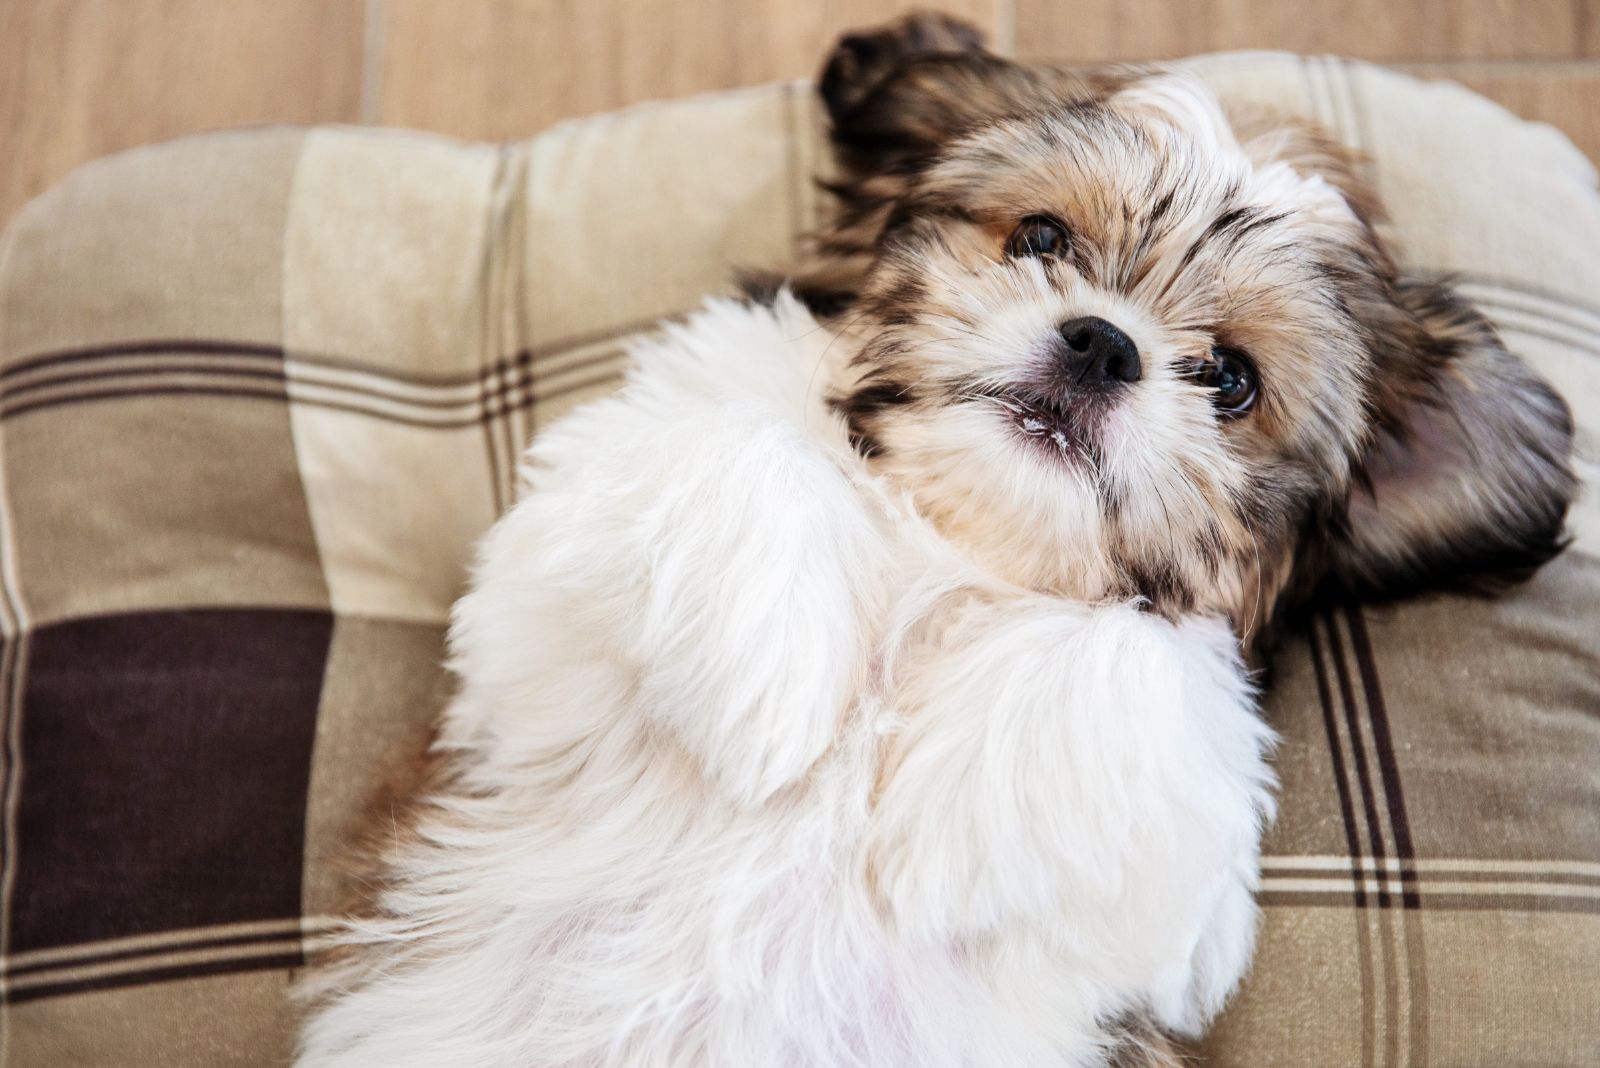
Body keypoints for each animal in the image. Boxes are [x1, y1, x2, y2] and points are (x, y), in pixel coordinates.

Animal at [297, 10, 1574, 1068]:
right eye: (1041, 237)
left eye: (1229, 380)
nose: (1102, 344)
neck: (952, 545)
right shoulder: (532, 619)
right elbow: (742, 443)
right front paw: (767, 696)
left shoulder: (1180, 893)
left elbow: (1142, 639)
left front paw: (947, 839)